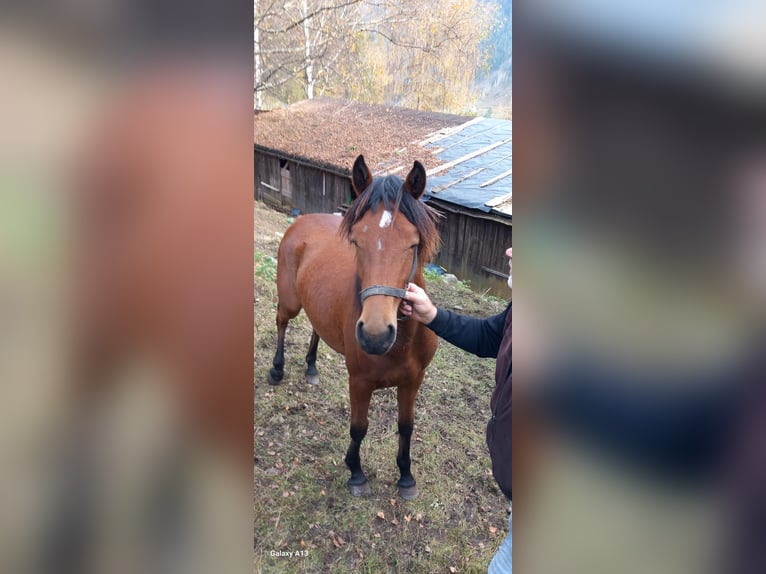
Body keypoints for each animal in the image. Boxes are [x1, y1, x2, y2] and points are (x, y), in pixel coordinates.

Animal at [270, 156, 440, 500]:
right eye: (357, 241)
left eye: (413, 244)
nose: (375, 336)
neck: (402, 343)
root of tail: (301, 221)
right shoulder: (359, 382)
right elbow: (359, 427)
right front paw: (356, 472)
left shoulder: (413, 380)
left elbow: (406, 426)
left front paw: (406, 476)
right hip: (291, 301)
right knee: (281, 321)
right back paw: (276, 369)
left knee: (315, 329)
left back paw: (311, 368)